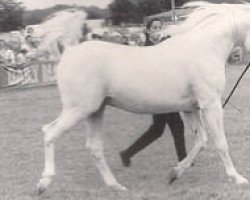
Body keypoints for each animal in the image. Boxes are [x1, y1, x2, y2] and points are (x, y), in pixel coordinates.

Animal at [36, 2, 250, 195]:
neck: (205, 47)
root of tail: (69, 51)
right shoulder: (210, 105)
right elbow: (220, 143)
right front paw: (238, 178)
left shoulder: (191, 108)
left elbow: (201, 141)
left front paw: (174, 173)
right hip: (79, 109)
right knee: (49, 132)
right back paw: (43, 183)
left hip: (95, 111)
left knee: (94, 147)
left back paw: (116, 186)